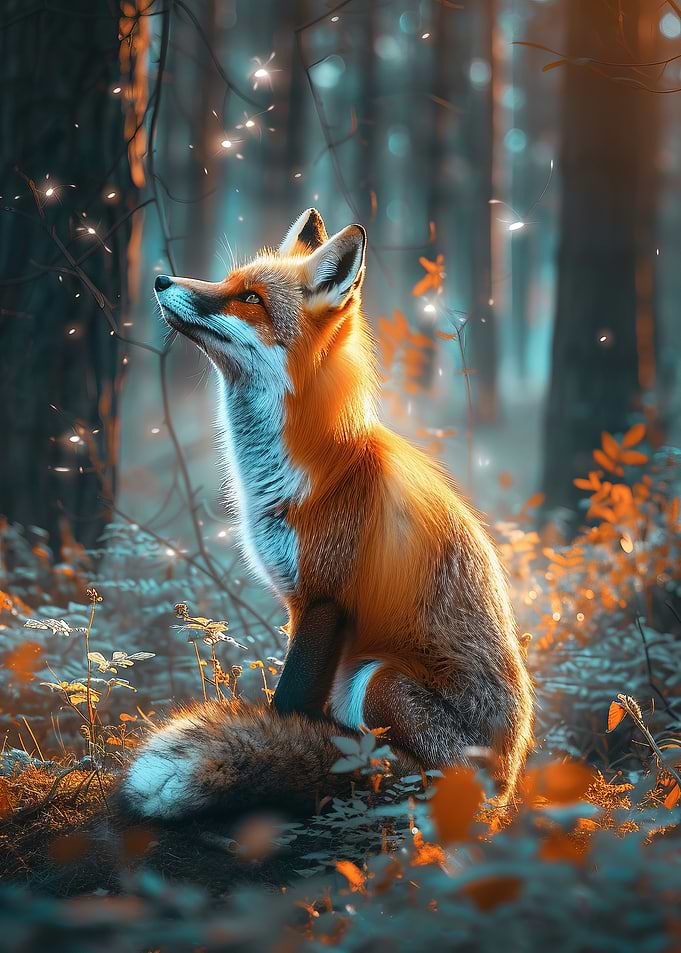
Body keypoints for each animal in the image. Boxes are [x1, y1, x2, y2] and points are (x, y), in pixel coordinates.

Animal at [118, 208, 533, 824]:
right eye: (228, 281)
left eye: (251, 298)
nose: (162, 280)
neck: (306, 472)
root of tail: (508, 784)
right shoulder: (298, 603)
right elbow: (295, 702)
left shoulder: (325, 595)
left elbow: (286, 701)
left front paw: (277, 747)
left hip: (378, 679)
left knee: (418, 774)